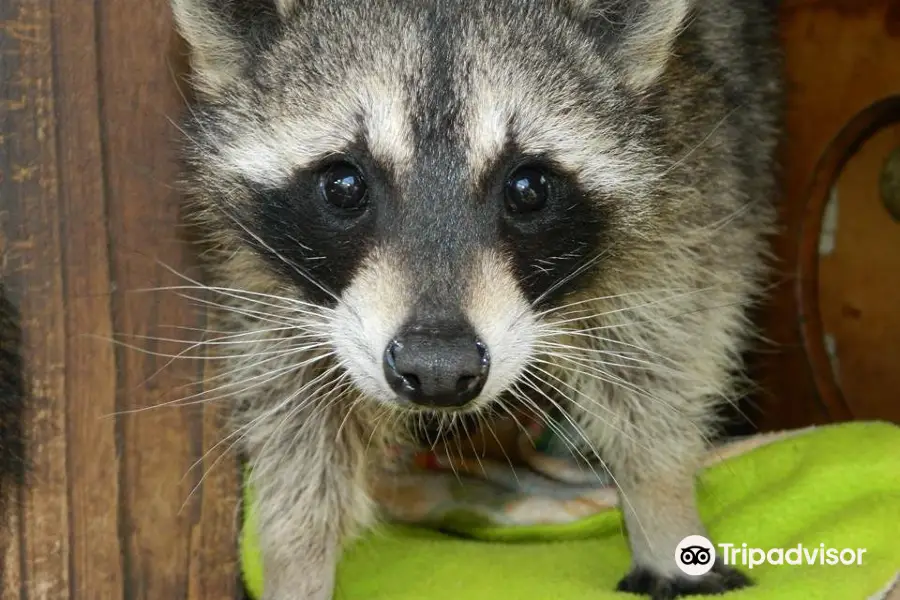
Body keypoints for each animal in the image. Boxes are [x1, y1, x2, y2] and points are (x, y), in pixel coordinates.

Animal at [169, 2, 780, 596]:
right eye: (343, 186)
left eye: (529, 188)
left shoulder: (694, 175)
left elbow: (667, 347)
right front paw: (297, 557)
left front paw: (661, 502)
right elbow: (295, 407)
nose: (438, 371)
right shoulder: (267, 272)